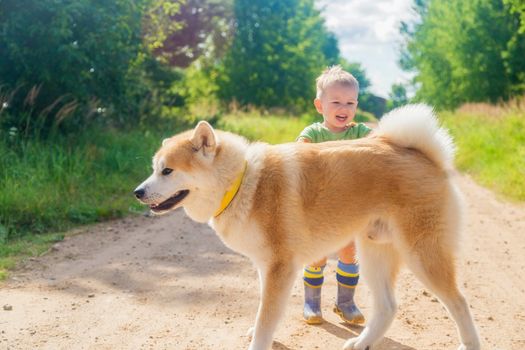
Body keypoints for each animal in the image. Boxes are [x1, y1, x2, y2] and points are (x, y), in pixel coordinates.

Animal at [134, 104, 478, 350]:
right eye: (153, 169)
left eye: (167, 171)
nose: (137, 192)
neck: (243, 183)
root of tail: (425, 156)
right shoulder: (268, 268)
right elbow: (265, 312)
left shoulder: (280, 268)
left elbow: (266, 318)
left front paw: (259, 341)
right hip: (374, 253)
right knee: (388, 307)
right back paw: (362, 342)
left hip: (422, 256)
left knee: (459, 302)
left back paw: (468, 343)